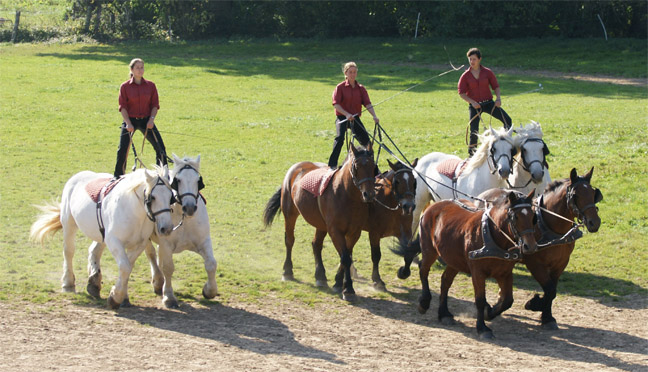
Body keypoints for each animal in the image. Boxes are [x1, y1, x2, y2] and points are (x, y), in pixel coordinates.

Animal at [30, 167, 175, 310]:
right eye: (153, 197)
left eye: (170, 197)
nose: (167, 228)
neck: (133, 211)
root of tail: (78, 175)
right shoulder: (114, 241)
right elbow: (125, 267)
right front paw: (115, 298)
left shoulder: (139, 244)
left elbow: (127, 267)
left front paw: (121, 296)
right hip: (68, 223)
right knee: (68, 252)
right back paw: (68, 283)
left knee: (94, 251)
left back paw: (94, 281)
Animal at [139, 154, 218, 308]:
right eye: (178, 180)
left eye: (197, 180)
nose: (190, 207)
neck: (184, 219)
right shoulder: (166, 245)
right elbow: (168, 267)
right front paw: (169, 296)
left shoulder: (203, 241)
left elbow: (211, 264)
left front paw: (209, 290)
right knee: (151, 254)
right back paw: (158, 281)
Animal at [262, 144, 374, 300]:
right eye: (356, 166)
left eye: (373, 166)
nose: (369, 194)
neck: (346, 195)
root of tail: (297, 167)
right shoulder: (335, 231)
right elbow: (345, 257)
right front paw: (348, 289)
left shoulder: (354, 232)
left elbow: (346, 256)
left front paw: (338, 283)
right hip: (290, 215)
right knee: (289, 240)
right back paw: (288, 271)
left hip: (321, 225)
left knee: (316, 245)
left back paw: (320, 276)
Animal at [394, 190, 536, 338]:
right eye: (515, 217)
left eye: (533, 216)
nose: (530, 246)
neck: (492, 236)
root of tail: (433, 206)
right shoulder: (477, 272)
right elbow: (480, 300)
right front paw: (482, 328)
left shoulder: (505, 273)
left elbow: (507, 301)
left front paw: (489, 313)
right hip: (429, 249)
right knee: (423, 270)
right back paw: (424, 302)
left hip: (454, 259)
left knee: (445, 281)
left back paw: (444, 314)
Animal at [480, 168, 604, 328]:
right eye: (575, 195)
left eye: (593, 193)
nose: (594, 222)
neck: (547, 224)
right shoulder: (535, 263)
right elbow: (549, 290)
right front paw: (534, 304)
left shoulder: (560, 263)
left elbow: (552, 290)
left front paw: (547, 316)